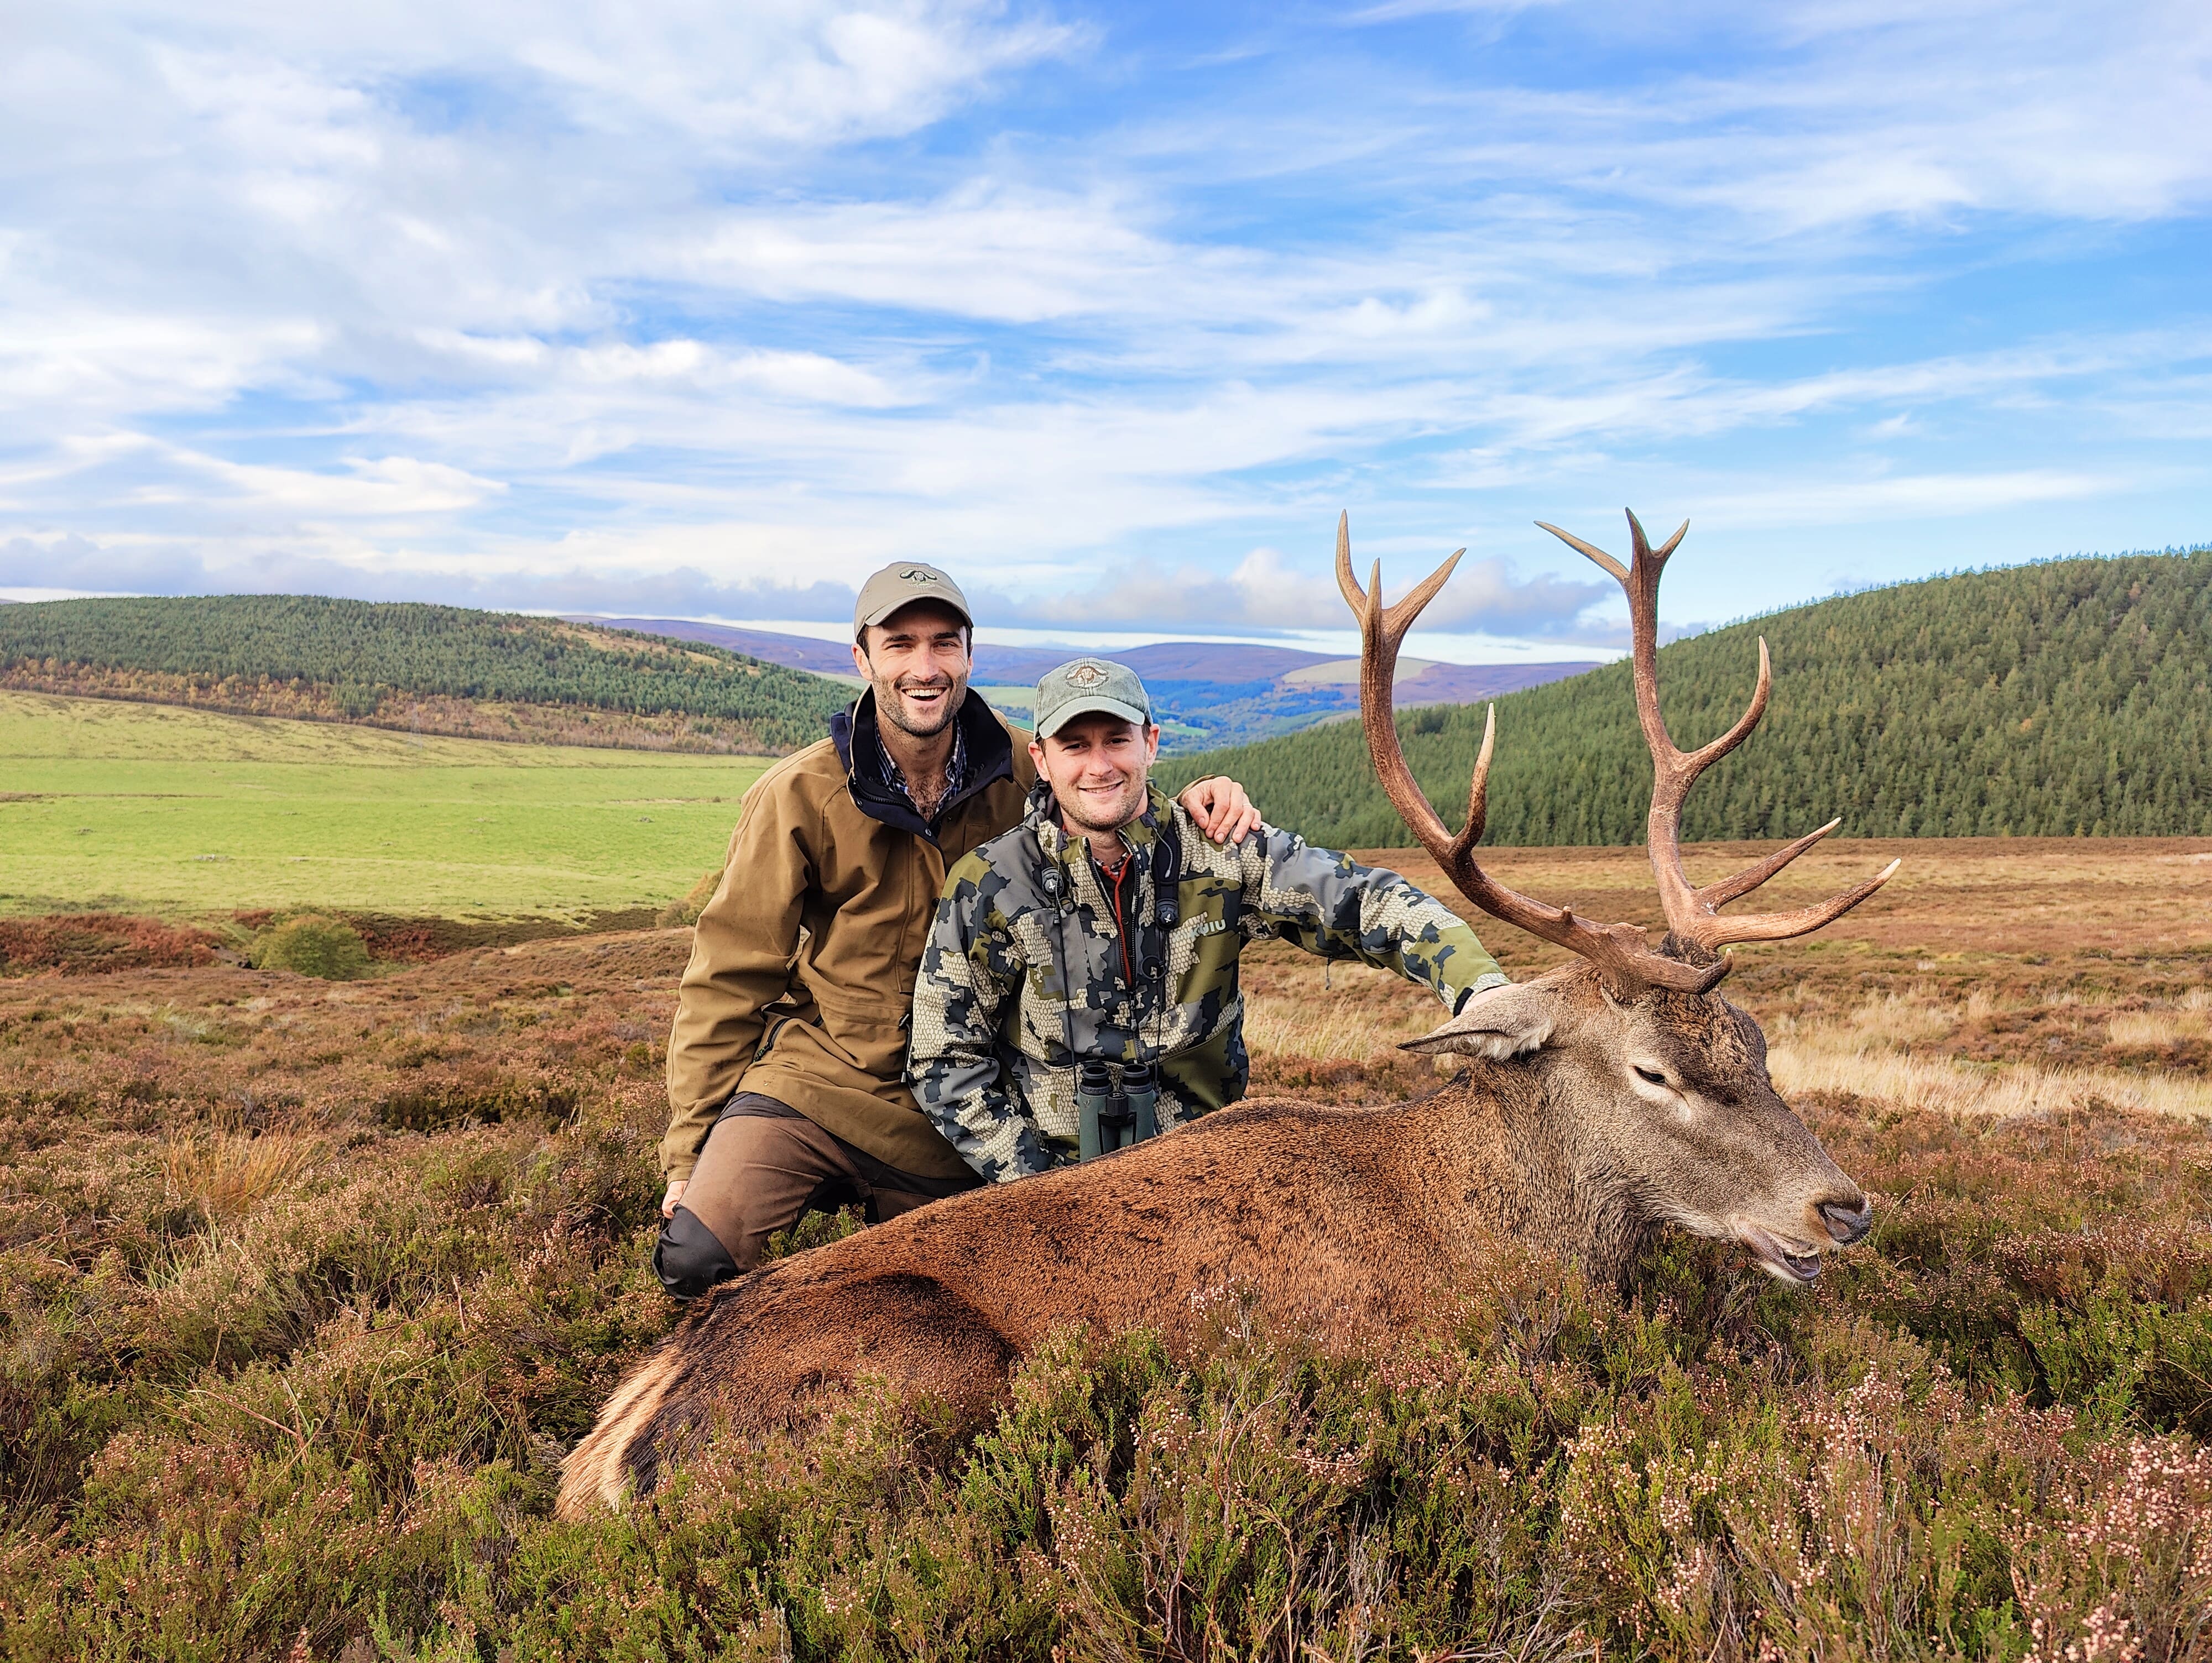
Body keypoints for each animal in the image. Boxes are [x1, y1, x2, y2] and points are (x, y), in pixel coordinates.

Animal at [556, 509, 1897, 1520]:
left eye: (1757, 1042)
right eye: (1650, 1072)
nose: (1841, 1207)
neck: (1503, 1242)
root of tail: (612, 1447)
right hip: (923, 1378)